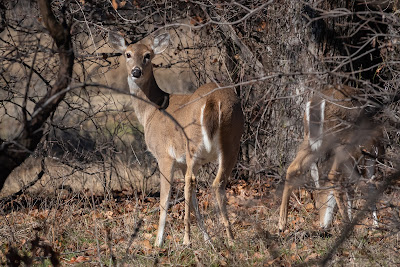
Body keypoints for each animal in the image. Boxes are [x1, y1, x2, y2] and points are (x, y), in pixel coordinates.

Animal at [108, 31, 244, 247]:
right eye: (127, 54)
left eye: (147, 55)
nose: (136, 72)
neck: (151, 111)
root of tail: (214, 100)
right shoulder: (181, 162)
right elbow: (195, 200)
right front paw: (207, 239)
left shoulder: (164, 155)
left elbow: (164, 199)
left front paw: (158, 242)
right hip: (233, 140)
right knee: (216, 183)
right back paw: (230, 238)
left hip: (192, 143)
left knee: (191, 181)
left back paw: (187, 239)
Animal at [278, 85, 384, 232]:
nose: (323, 223)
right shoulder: (369, 154)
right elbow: (368, 185)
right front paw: (375, 225)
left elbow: (351, 188)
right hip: (339, 139)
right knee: (333, 175)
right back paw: (346, 223)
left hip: (310, 138)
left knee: (293, 168)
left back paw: (281, 224)